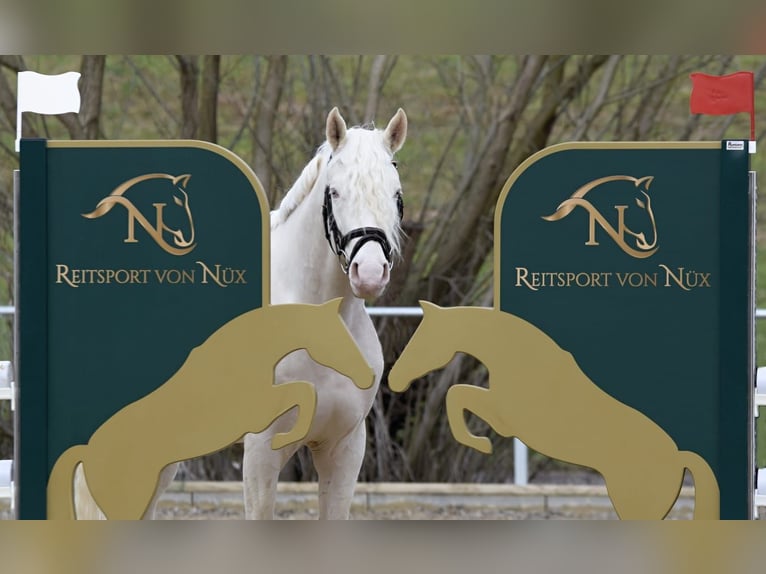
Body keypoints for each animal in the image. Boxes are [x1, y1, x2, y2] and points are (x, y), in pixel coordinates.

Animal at [51, 298, 374, 519]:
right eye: (337, 339)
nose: (368, 377)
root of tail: (89, 450)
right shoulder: (258, 412)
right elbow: (304, 391)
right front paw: (286, 438)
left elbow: (305, 392)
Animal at [387, 302, 720, 520]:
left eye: (419, 342)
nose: (393, 380)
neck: (522, 359)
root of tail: (677, 456)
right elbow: (457, 394)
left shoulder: (503, 417)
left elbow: (456, 394)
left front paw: (481, 445)